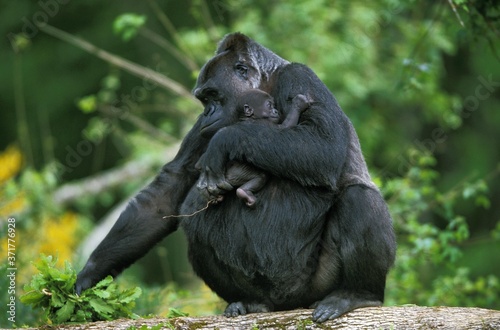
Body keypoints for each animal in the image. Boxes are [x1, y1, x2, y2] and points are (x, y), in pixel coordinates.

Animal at [76, 33, 396, 322]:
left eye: (212, 95)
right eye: (203, 100)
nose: (207, 113)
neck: (266, 79)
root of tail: (289, 304)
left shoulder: (299, 76)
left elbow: (322, 147)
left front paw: (226, 140)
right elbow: (166, 193)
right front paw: (90, 276)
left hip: (315, 288)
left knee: (358, 197)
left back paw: (358, 294)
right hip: (271, 296)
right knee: (195, 216)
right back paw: (249, 302)